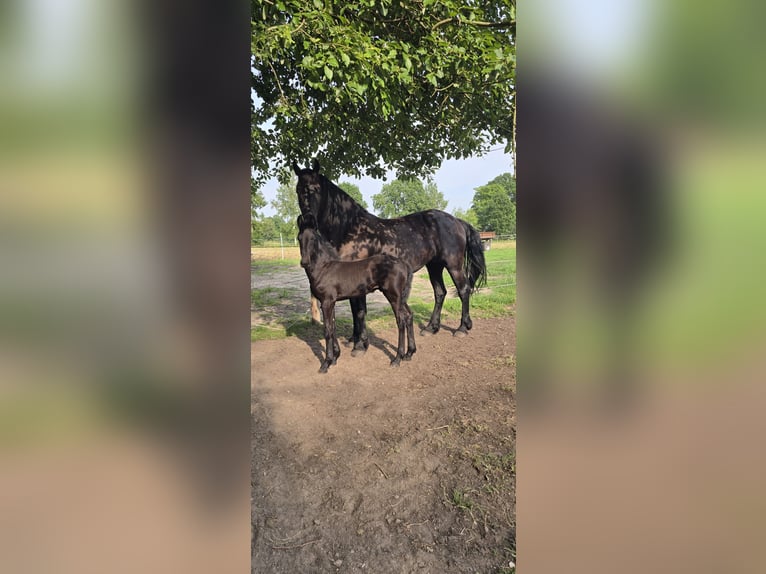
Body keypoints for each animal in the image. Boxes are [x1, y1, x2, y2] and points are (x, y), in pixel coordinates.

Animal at [293, 160, 487, 356]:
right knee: (440, 293)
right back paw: (431, 328)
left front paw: (360, 345)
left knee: (463, 289)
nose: (308, 220)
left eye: (316, 188)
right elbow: (355, 311)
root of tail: (457, 221)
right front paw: (353, 340)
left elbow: (360, 311)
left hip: (453, 265)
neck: (350, 228)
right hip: (434, 266)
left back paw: (462, 328)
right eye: (298, 189)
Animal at [297, 213, 417, 373]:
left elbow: (327, 330)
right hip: (402, 298)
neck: (324, 268)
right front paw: (335, 358)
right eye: (299, 238)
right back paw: (409, 353)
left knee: (401, 321)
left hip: (393, 296)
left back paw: (397, 359)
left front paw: (326, 363)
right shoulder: (330, 302)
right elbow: (332, 327)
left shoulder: (326, 302)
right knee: (409, 315)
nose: (304, 262)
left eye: (313, 239)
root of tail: (404, 264)